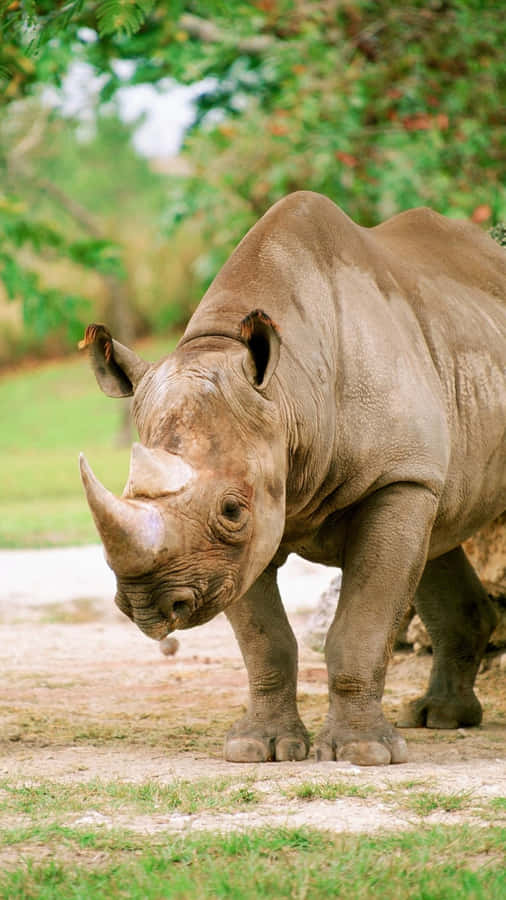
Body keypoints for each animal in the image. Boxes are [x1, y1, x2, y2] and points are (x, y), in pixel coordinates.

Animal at [79, 191, 505, 767]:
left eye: (231, 509)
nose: (150, 606)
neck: (289, 393)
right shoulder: (250, 532)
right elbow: (266, 640)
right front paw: (258, 748)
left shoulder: (395, 478)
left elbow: (361, 623)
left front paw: (363, 753)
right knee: (440, 532)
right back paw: (438, 719)